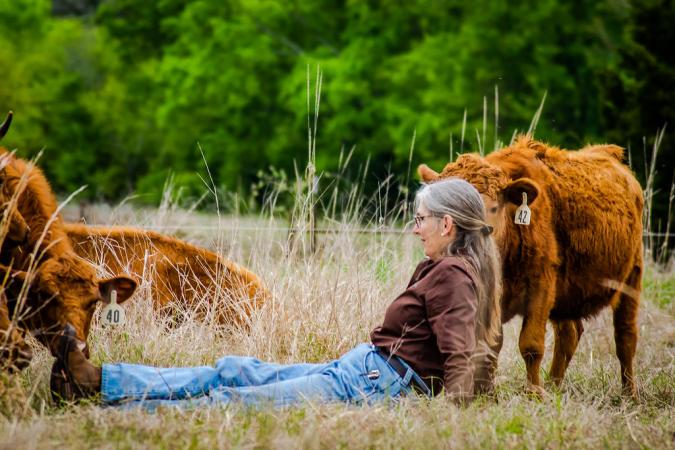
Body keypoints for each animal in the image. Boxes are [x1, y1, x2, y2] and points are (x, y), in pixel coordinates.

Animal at [418, 136, 643, 397]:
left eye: (493, 207)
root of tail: (609, 153)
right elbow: (490, 344)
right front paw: (486, 393)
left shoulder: (541, 285)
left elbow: (531, 344)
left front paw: (533, 393)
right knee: (569, 334)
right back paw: (554, 386)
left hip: (632, 276)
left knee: (625, 337)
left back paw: (629, 394)